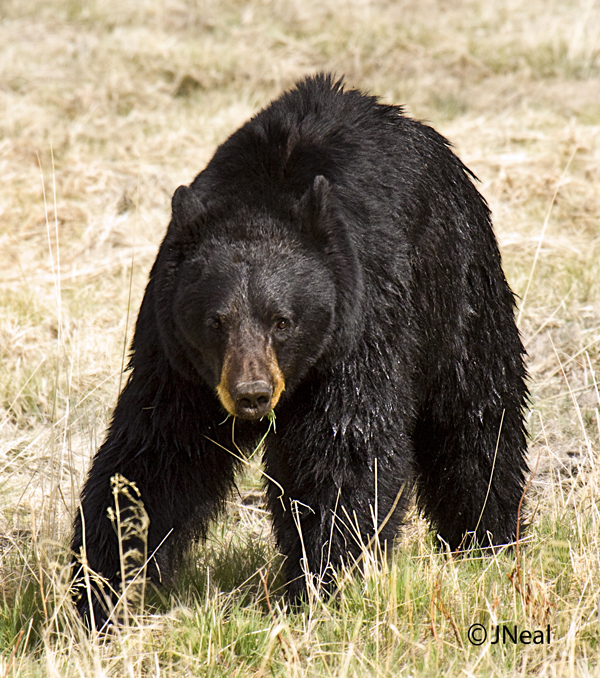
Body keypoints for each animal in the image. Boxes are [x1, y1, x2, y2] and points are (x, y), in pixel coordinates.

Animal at [71, 74, 528, 628]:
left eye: (282, 320)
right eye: (215, 321)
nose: (251, 394)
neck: (263, 201)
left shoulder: (356, 331)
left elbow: (343, 453)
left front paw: (324, 578)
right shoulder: (176, 357)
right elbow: (153, 454)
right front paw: (100, 585)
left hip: (457, 281)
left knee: (476, 413)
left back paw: (485, 538)